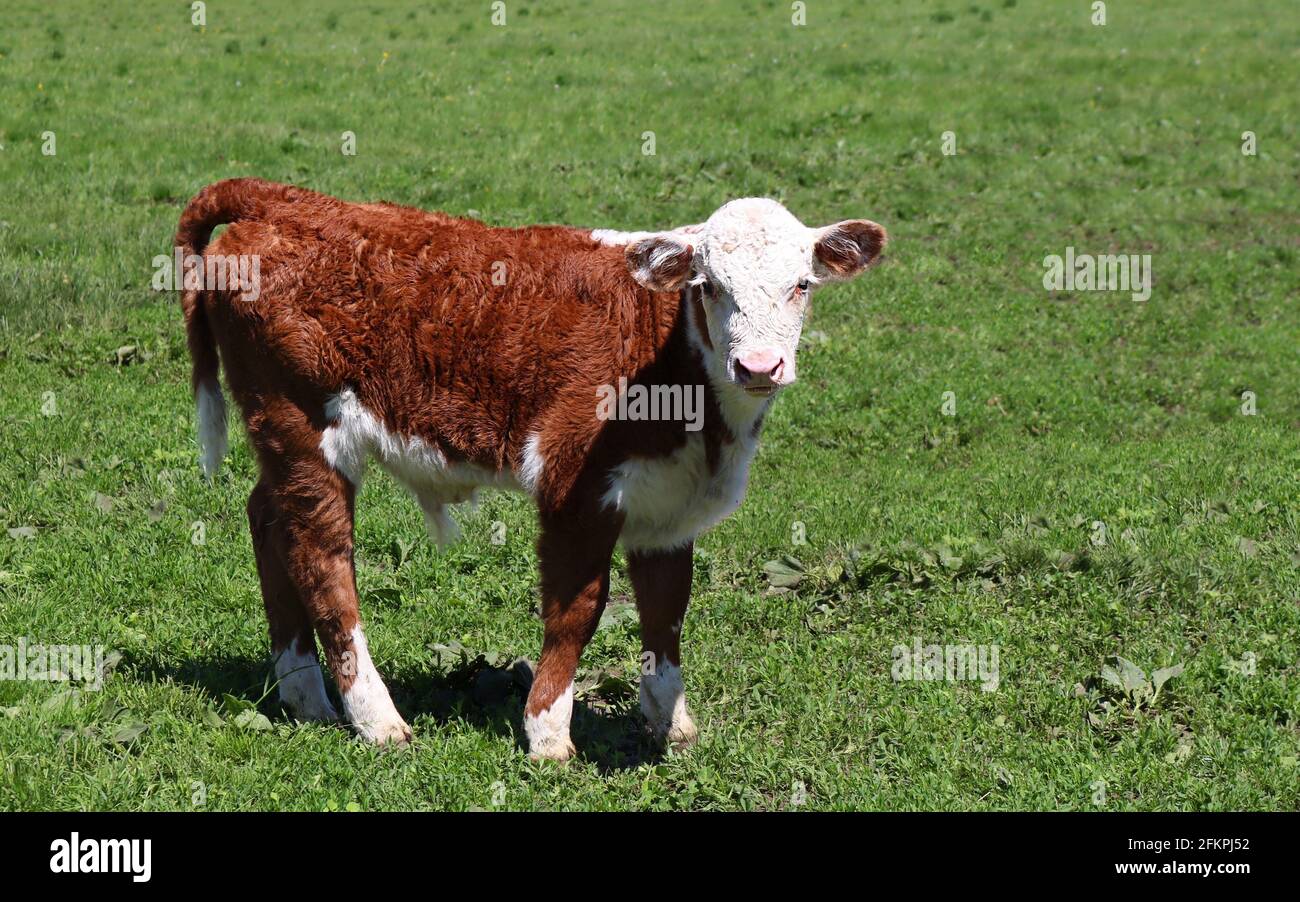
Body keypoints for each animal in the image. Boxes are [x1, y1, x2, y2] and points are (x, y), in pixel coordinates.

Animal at [176, 178, 886, 760]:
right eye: (709, 286)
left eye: (802, 285)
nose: (759, 366)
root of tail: (285, 201)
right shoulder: (574, 483)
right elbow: (579, 608)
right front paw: (547, 734)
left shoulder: (668, 503)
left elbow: (667, 607)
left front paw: (669, 723)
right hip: (304, 425)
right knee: (321, 559)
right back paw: (376, 719)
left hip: (279, 436)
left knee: (268, 520)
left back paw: (304, 694)